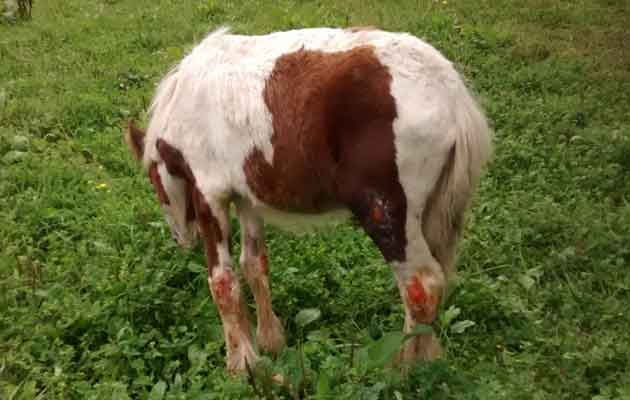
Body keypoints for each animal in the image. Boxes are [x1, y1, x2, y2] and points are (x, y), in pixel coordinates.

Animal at [124, 27, 494, 372]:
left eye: (154, 181)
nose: (181, 238)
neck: (186, 101)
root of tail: (451, 94)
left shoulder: (209, 195)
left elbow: (223, 283)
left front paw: (242, 366)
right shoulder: (247, 198)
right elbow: (254, 265)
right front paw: (270, 343)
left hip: (387, 212)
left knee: (422, 286)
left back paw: (402, 371)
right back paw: (427, 360)